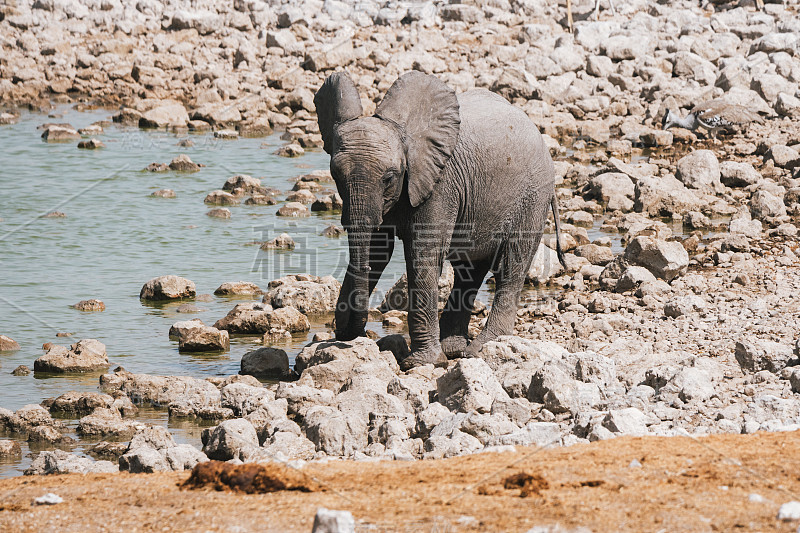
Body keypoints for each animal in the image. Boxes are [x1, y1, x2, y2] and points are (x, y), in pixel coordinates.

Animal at [312, 70, 564, 368]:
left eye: (389, 178)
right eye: (335, 176)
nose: (347, 333)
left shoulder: (440, 183)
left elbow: (423, 254)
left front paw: (421, 362)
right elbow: (377, 251)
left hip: (533, 196)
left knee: (511, 264)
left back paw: (481, 349)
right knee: (470, 269)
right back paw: (454, 348)